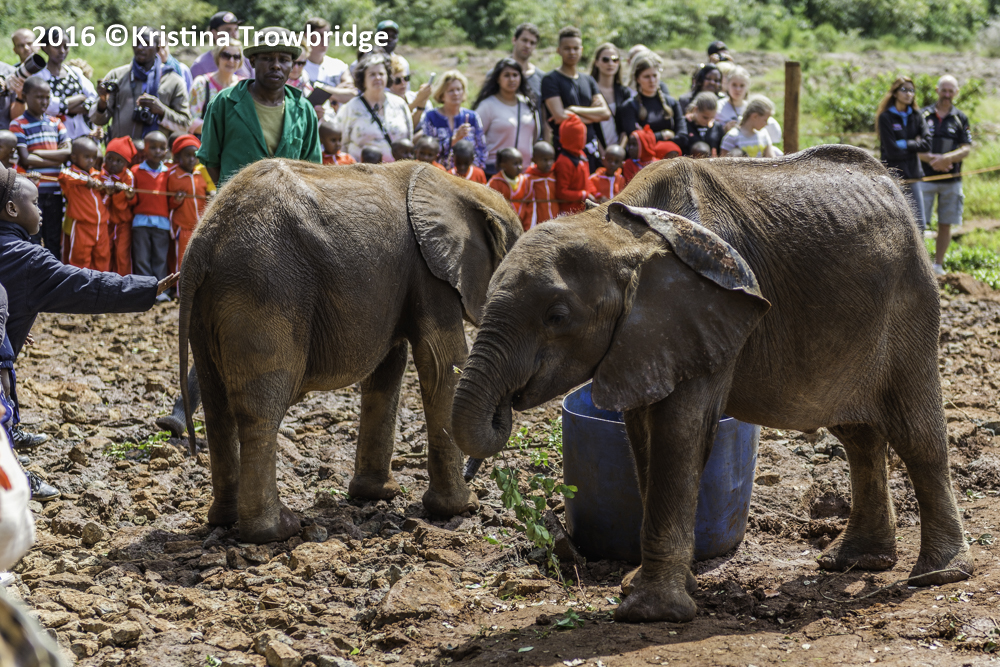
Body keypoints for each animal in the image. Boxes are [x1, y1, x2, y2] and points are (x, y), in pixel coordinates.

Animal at [177, 159, 522, 544]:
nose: (472, 477)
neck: (459, 187)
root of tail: (202, 243)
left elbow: (389, 368)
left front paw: (377, 495)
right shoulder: (429, 274)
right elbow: (441, 364)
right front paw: (460, 509)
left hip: (211, 308)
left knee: (217, 406)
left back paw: (224, 519)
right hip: (265, 289)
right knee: (260, 411)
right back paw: (277, 530)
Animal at [450, 145, 972, 623]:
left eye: (556, 317)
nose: (506, 405)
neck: (620, 228)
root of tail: (895, 185)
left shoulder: (706, 312)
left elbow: (678, 433)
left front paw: (650, 612)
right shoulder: (649, 335)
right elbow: (643, 433)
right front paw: (642, 587)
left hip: (910, 303)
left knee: (916, 433)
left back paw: (938, 574)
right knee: (858, 436)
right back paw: (854, 562)